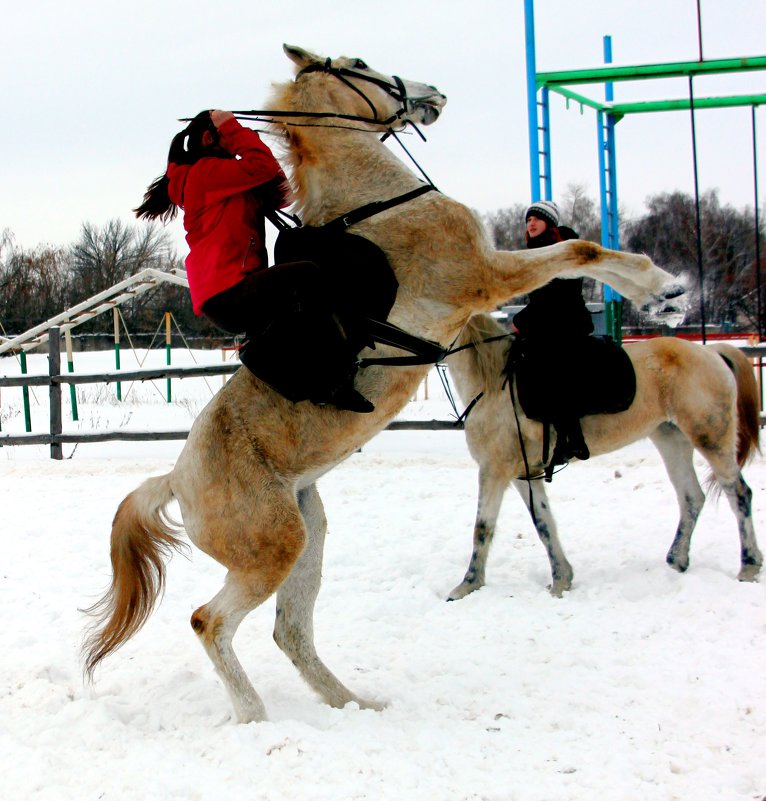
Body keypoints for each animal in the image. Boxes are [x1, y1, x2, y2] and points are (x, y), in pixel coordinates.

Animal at [82, 43, 684, 720]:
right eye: (360, 63)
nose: (433, 94)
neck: (379, 203)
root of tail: (175, 479)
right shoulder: (485, 276)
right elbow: (582, 252)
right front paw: (666, 291)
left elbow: (578, 259)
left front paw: (661, 297)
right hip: (272, 549)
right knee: (210, 622)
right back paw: (255, 717)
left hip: (308, 536)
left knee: (290, 631)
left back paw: (355, 705)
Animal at [448, 312, 764, 600]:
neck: (493, 382)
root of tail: (711, 352)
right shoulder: (524, 474)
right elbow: (544, 523)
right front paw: (561, 580)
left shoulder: (494, 470)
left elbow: (482, 528)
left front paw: (467, 585)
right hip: (671, 440)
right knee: (692, 497)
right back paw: (677, 560)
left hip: (711, 439)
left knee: (739, 493)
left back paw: (749, 566)